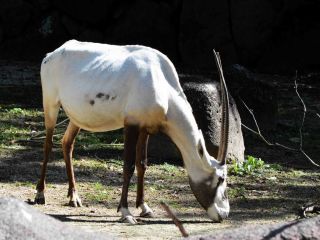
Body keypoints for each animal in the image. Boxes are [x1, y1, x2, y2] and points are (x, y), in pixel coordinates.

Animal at [35, 39, 230, 223]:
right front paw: (125, 212)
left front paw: (144, 207)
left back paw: (74, 197)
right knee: (48, 144)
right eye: (220, 179)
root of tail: (52, 54)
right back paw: (40, 194)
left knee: (67, 143)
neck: (161, 82)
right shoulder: (131, 125)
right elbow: (128, 165)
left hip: (76, 118)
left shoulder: (146, 128)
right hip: (50, 105)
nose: (224, 214)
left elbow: (142, 164)